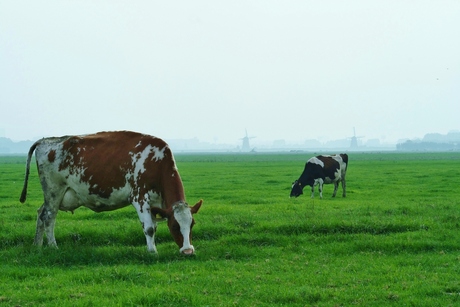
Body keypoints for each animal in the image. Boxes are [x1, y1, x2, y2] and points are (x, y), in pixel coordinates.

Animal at [19, 131, 203, 256]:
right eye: (175, 225)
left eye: (192, 224)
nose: (188, 251)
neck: (156, 162)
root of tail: (46, 140)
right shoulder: (140, 198)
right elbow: (149, 228)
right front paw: (153, 252)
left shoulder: (156, 203)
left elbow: (154, 226)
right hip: (54, 191)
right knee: (48, 217)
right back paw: (53, 247)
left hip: (57, 196)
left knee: (40, 213)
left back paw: (37, 246)